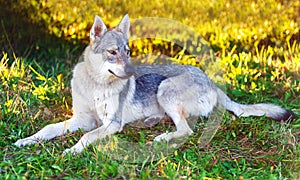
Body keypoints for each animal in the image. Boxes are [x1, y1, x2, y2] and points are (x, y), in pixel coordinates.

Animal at [13, 14, 296, 154]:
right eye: (113, 53)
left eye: (128, 51)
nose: (133, 73)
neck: (96, 84)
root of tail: (211, 81)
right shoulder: (82, 118)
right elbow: (49, 128)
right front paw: (27, 141)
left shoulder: (110, 123)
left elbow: (87, 136)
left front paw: (72, 151)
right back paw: (150, 122)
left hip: (165, 89)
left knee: (186, 130)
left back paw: (161, 137)